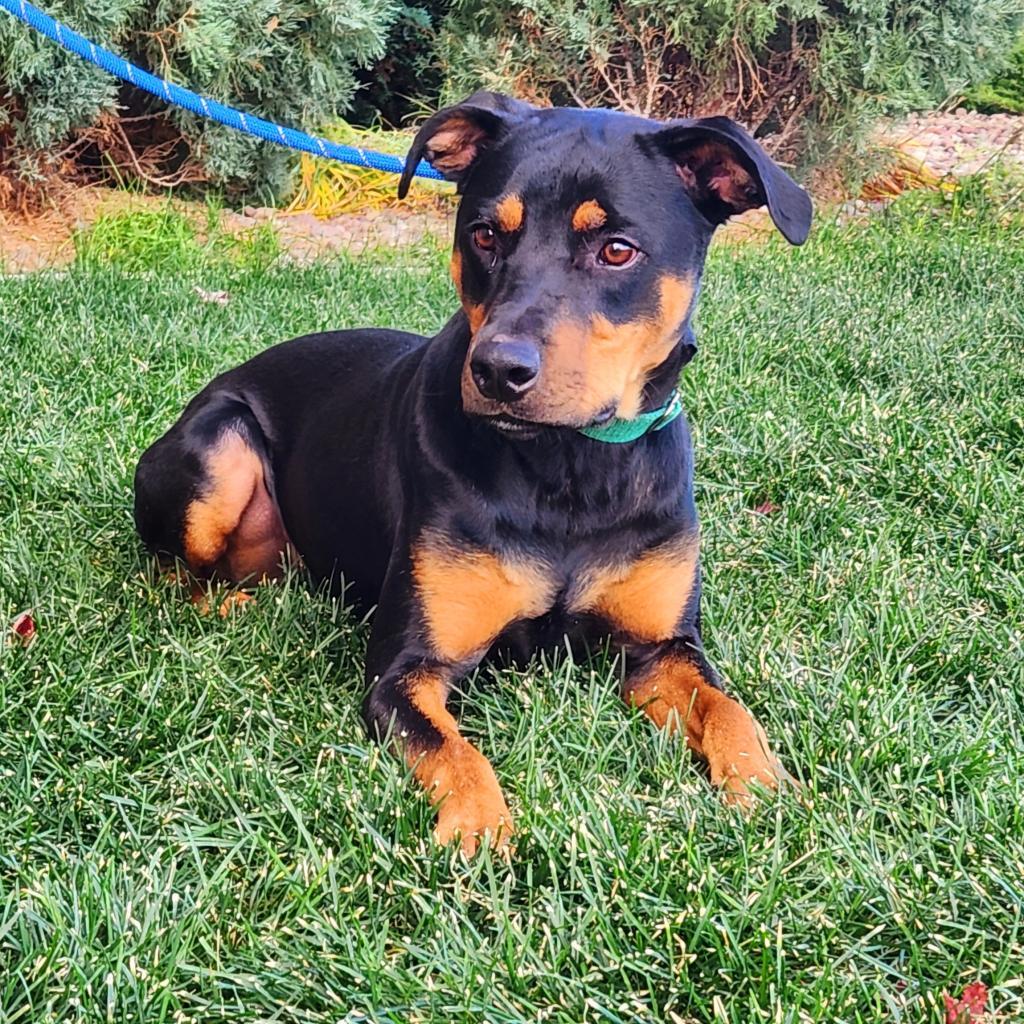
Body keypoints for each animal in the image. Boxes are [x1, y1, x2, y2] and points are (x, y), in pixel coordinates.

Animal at [134, 90, 806, 856]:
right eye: (485, 235)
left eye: (616, 250)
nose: (497, 370)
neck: (568, 472)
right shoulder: (405, 669)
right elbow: (455, 751)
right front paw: (480, 831)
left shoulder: (661, 649)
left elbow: (726, 706)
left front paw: (765, 786)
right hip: (219, 449)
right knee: (166, 573)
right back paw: (230, 603)